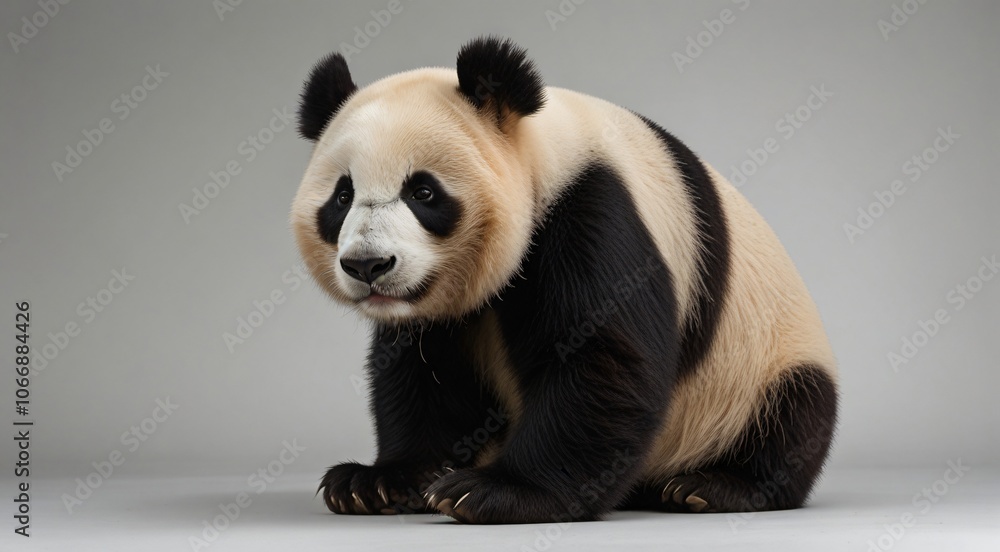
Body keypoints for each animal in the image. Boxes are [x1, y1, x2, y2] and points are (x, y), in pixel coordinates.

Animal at [291, 36, 838, 524]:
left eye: (422, 191)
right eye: (342, 196)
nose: (368, 265)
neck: (541, 151)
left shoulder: (592, 210)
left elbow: (598, 358)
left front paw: (496, 492)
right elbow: (420, 370)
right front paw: (376, 481)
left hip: (758, 366)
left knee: (789, 417)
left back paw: (709, 486)